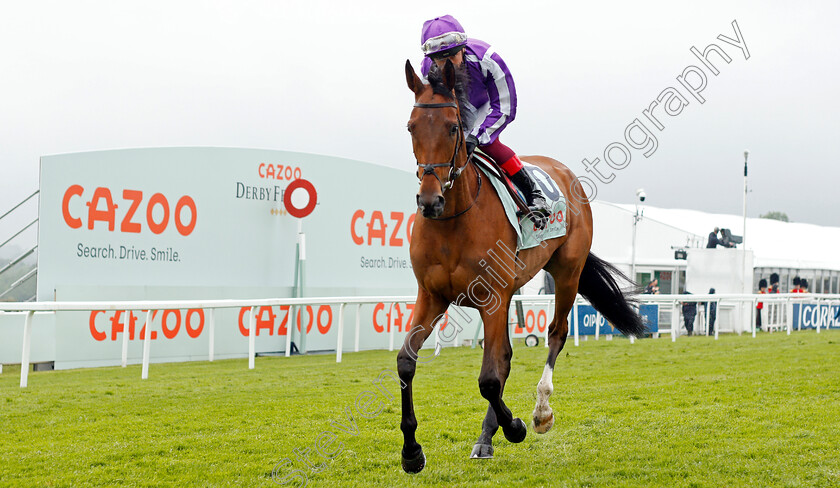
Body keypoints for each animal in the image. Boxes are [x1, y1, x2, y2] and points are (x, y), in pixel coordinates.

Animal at [398, 58, 644, 472]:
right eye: (411, 127)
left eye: (452, 127)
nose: (429, 201)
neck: (453, 221)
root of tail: (563, 170)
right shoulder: (432, 296)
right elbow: (406, 362)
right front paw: (412, 452)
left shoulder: (493, 299)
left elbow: (488, 380)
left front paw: (514, 426)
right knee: (505, 359)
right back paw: (485, 438)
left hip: (567, 272)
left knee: (556, 334)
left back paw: (539, 412)